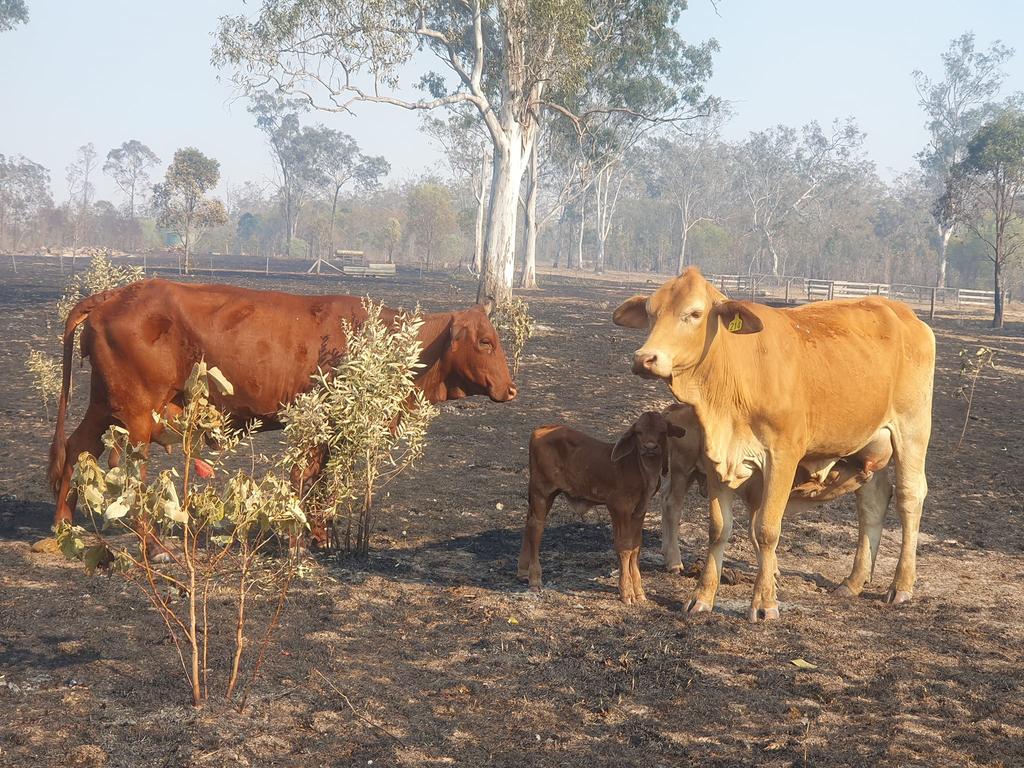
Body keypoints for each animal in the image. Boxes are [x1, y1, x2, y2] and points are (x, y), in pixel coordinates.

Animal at [44, 280, 516, 544]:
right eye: (485, 342)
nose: (510, 389)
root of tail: (113, 295)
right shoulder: (320, 425)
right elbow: (309, 481)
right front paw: (303, 537)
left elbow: (320, 482)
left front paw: (319, 536)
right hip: (139, 415)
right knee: (131, 473)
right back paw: (153, 545)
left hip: (105, 406)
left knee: (76, 448)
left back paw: (63, 524)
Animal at [516, 411, 684, 606]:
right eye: (639, 432)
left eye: (663, 431)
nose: (650, 447)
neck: (642, 470)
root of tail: (541, 429)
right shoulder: (618, 507)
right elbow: (624, 547)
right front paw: (626, 592)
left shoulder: (640, 510)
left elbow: (635, 548)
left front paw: (639, 592)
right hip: (542, 492)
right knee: (536, 528)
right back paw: (534, 579)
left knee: (528, 522)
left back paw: (523, 571)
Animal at [614, 268, 937, 622]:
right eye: (650, 312)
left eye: (695, 313)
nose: (645, 359)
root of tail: (903, 313)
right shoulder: (717, 459)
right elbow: (718, 528)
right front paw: (702, 597)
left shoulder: (782, 458)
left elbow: (766, 529)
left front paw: (765, 603)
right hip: (865, 443)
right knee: (873, 503)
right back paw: (852, 582)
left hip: (912, 428)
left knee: (909, 497)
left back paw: (901, 585)